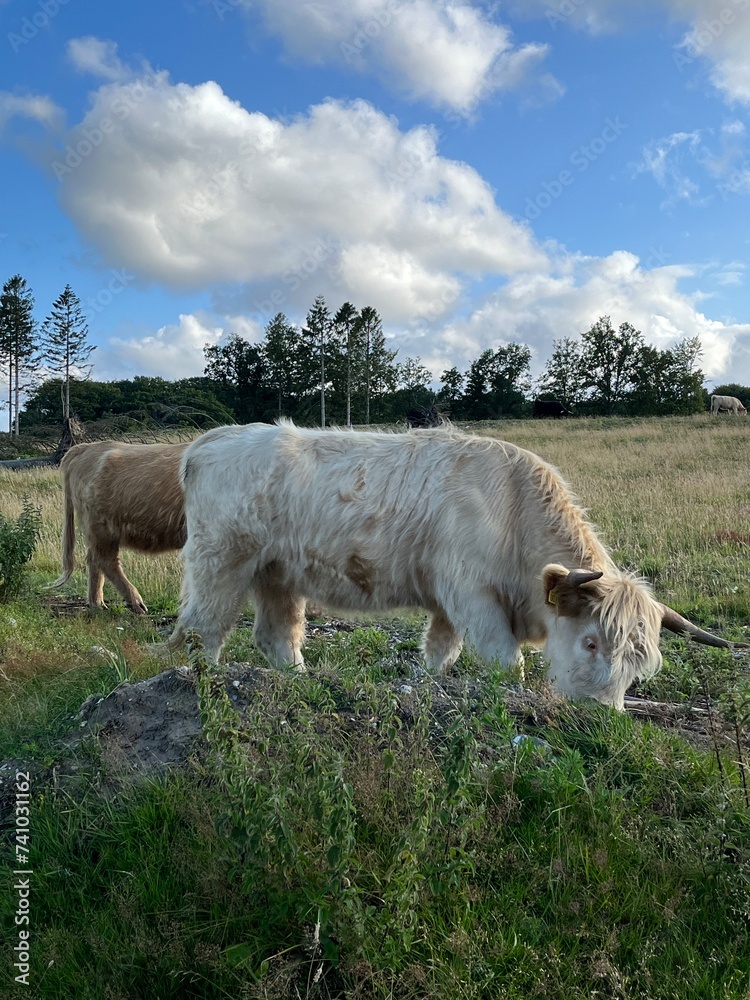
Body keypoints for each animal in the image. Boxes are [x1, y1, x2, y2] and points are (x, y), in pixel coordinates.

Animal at [50, 440, 188, 613]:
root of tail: (86, 447)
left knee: (95, 560)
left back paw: (97, 603)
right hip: (102, 527)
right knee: (105, 560)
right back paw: (135, 602)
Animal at [163, 422, 739, 709]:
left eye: (641, 665)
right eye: (591, 642)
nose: (600, 715)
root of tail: (210, 440)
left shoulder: (450, 604)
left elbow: (441, 653)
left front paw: (426, 683)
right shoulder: (474, 596)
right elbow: (507, 664)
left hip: (277, 573)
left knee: (276, 635)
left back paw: (300, 682)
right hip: (221, 561)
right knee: (202, 630)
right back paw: (199, 682)